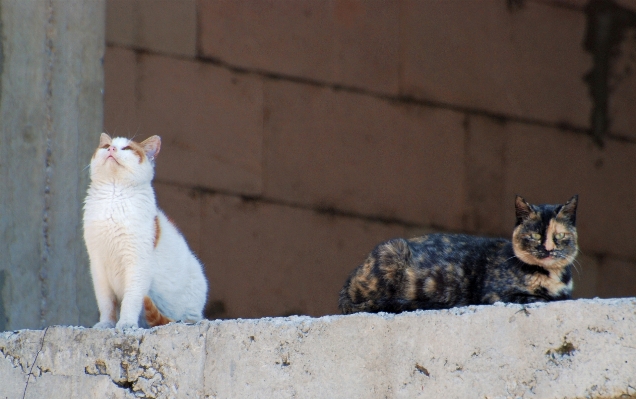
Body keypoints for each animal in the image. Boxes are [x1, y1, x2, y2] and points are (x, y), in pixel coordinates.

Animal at [83, 133, 207, 330]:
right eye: (106, 146)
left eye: (127, 148)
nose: (111, 149)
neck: (113, 196)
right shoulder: (98, 264)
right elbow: (106, 303)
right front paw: (106, 324)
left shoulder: (137, 263)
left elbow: (131, 299)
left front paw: (126, 323)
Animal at [340, 195, 580, 314]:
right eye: (534, 235)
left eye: (559, 235)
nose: (548, 249)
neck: (552, 276)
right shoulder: (495, 295)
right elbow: (543, 297)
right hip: (394, 249)